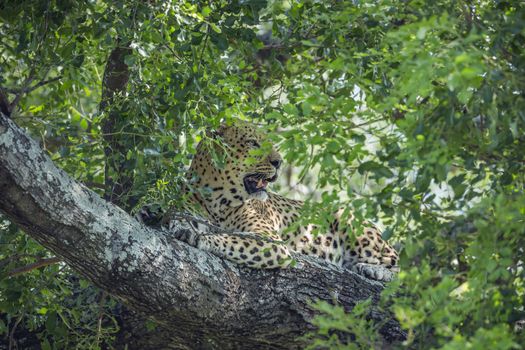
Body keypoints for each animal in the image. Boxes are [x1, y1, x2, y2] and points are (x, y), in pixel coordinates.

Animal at [160, 121, 398, 280]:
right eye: (253, 143)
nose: (279, 162)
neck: (217, 200)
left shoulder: (272, 242)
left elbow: (231, 239)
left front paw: (198, 237)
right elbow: (181, 219)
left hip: (351, 222)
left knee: (398, 266)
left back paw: (374, 270)